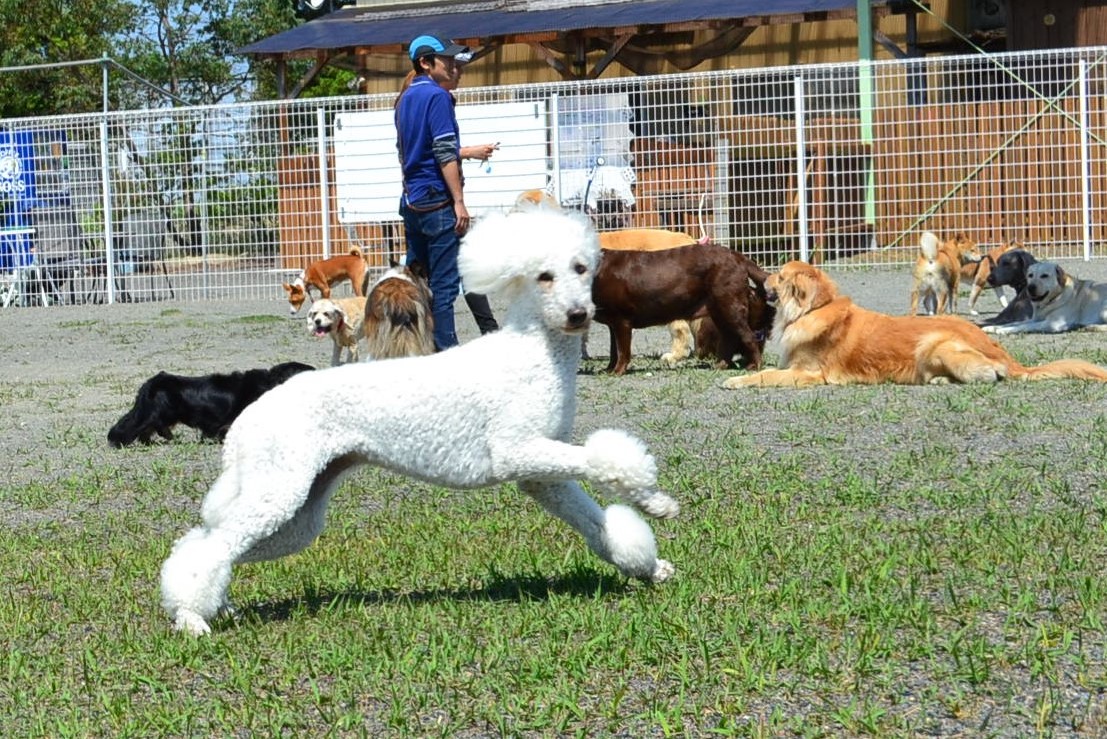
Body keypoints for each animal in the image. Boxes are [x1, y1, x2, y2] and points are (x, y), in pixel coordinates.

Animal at [597, 241, 770, 376]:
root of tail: (737, 256)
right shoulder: (614, 323)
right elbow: (613, 350)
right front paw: (608, 369)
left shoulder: (622, 319)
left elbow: (622, 351)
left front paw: (617, 371)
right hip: (719, 309)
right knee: (729, 337)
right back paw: (720, 365)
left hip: (728, 304)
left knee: (748, 336)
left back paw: (754, 366)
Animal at [721, 258, 1107, 387]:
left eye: (778, 275)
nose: (761, 281)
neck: (813, 310)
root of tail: (1009, 358)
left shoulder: (809, 373)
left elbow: (767, 375)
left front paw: (737, 380)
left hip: (934, 343)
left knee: (989, 375)